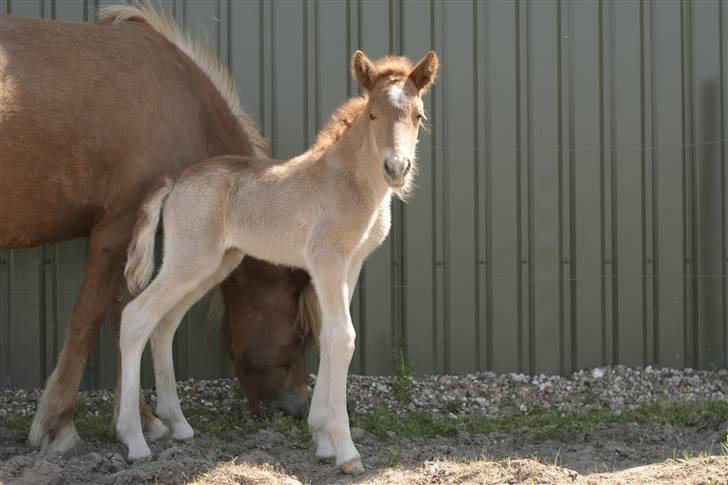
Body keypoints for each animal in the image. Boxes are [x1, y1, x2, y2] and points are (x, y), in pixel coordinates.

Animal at [117, 50, 438, 472]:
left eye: (419, 115)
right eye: (372, 114)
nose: (396, 168)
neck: (351, 182)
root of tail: (175, 182)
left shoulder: (349, 265)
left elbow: (328, 336)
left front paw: (321, 438)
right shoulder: (328, 261)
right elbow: (343, 338)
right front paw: (346, 452)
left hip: (212, 265)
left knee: (164, 324)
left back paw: (179, 424)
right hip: (189, 261)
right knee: (136, 317)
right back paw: (134, 440)